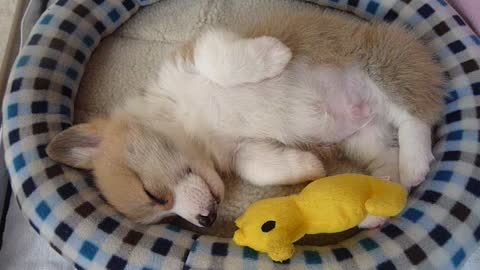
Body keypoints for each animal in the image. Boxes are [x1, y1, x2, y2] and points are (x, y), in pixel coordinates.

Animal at [47, 8, 444, 227]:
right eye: (164, 214)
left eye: (153, 195)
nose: (206, 221)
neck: (188, 122)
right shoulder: (241, 149)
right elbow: (259, 167)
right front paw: (308, 166)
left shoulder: (200, 51)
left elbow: (220, 62)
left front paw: (276, 55)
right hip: (363, 140)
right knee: (389, 165)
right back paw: (377, 208)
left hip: (383, 67)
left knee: (415, 117)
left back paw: (415, 162)